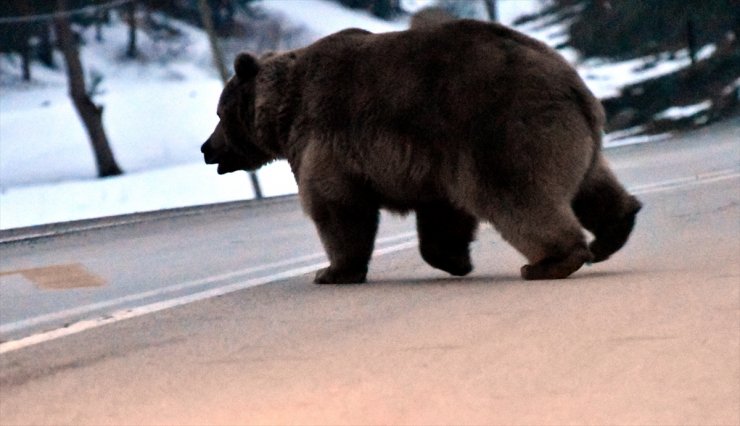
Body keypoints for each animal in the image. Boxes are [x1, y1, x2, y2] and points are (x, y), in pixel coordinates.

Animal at [199, 19, 640, 282]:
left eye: (219, 113)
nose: (207, 148)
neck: (283, 112)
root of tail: (572, 82)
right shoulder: (431, 158)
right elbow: (441, 212)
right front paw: (456, 260)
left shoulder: (325, 140)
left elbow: (336, 207)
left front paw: (333, 271)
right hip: (567, 137)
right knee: (592, 184)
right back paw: (612, 233)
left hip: (503, 130)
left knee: (518, 197)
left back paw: (548, 262)